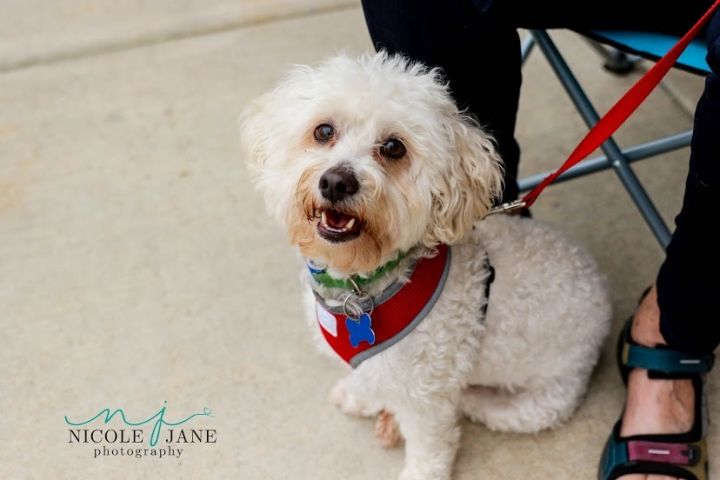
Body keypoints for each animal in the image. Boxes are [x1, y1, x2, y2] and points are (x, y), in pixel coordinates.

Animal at [239, 52, 612, 480]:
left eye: (393, 147)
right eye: (324, 131)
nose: (336, 182)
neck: (362, 287)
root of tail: (604, 296)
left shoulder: (426, 393)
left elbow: (430, 443)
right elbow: (369, 377)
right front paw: (359, 395)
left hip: (537, 405)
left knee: (475, 405)